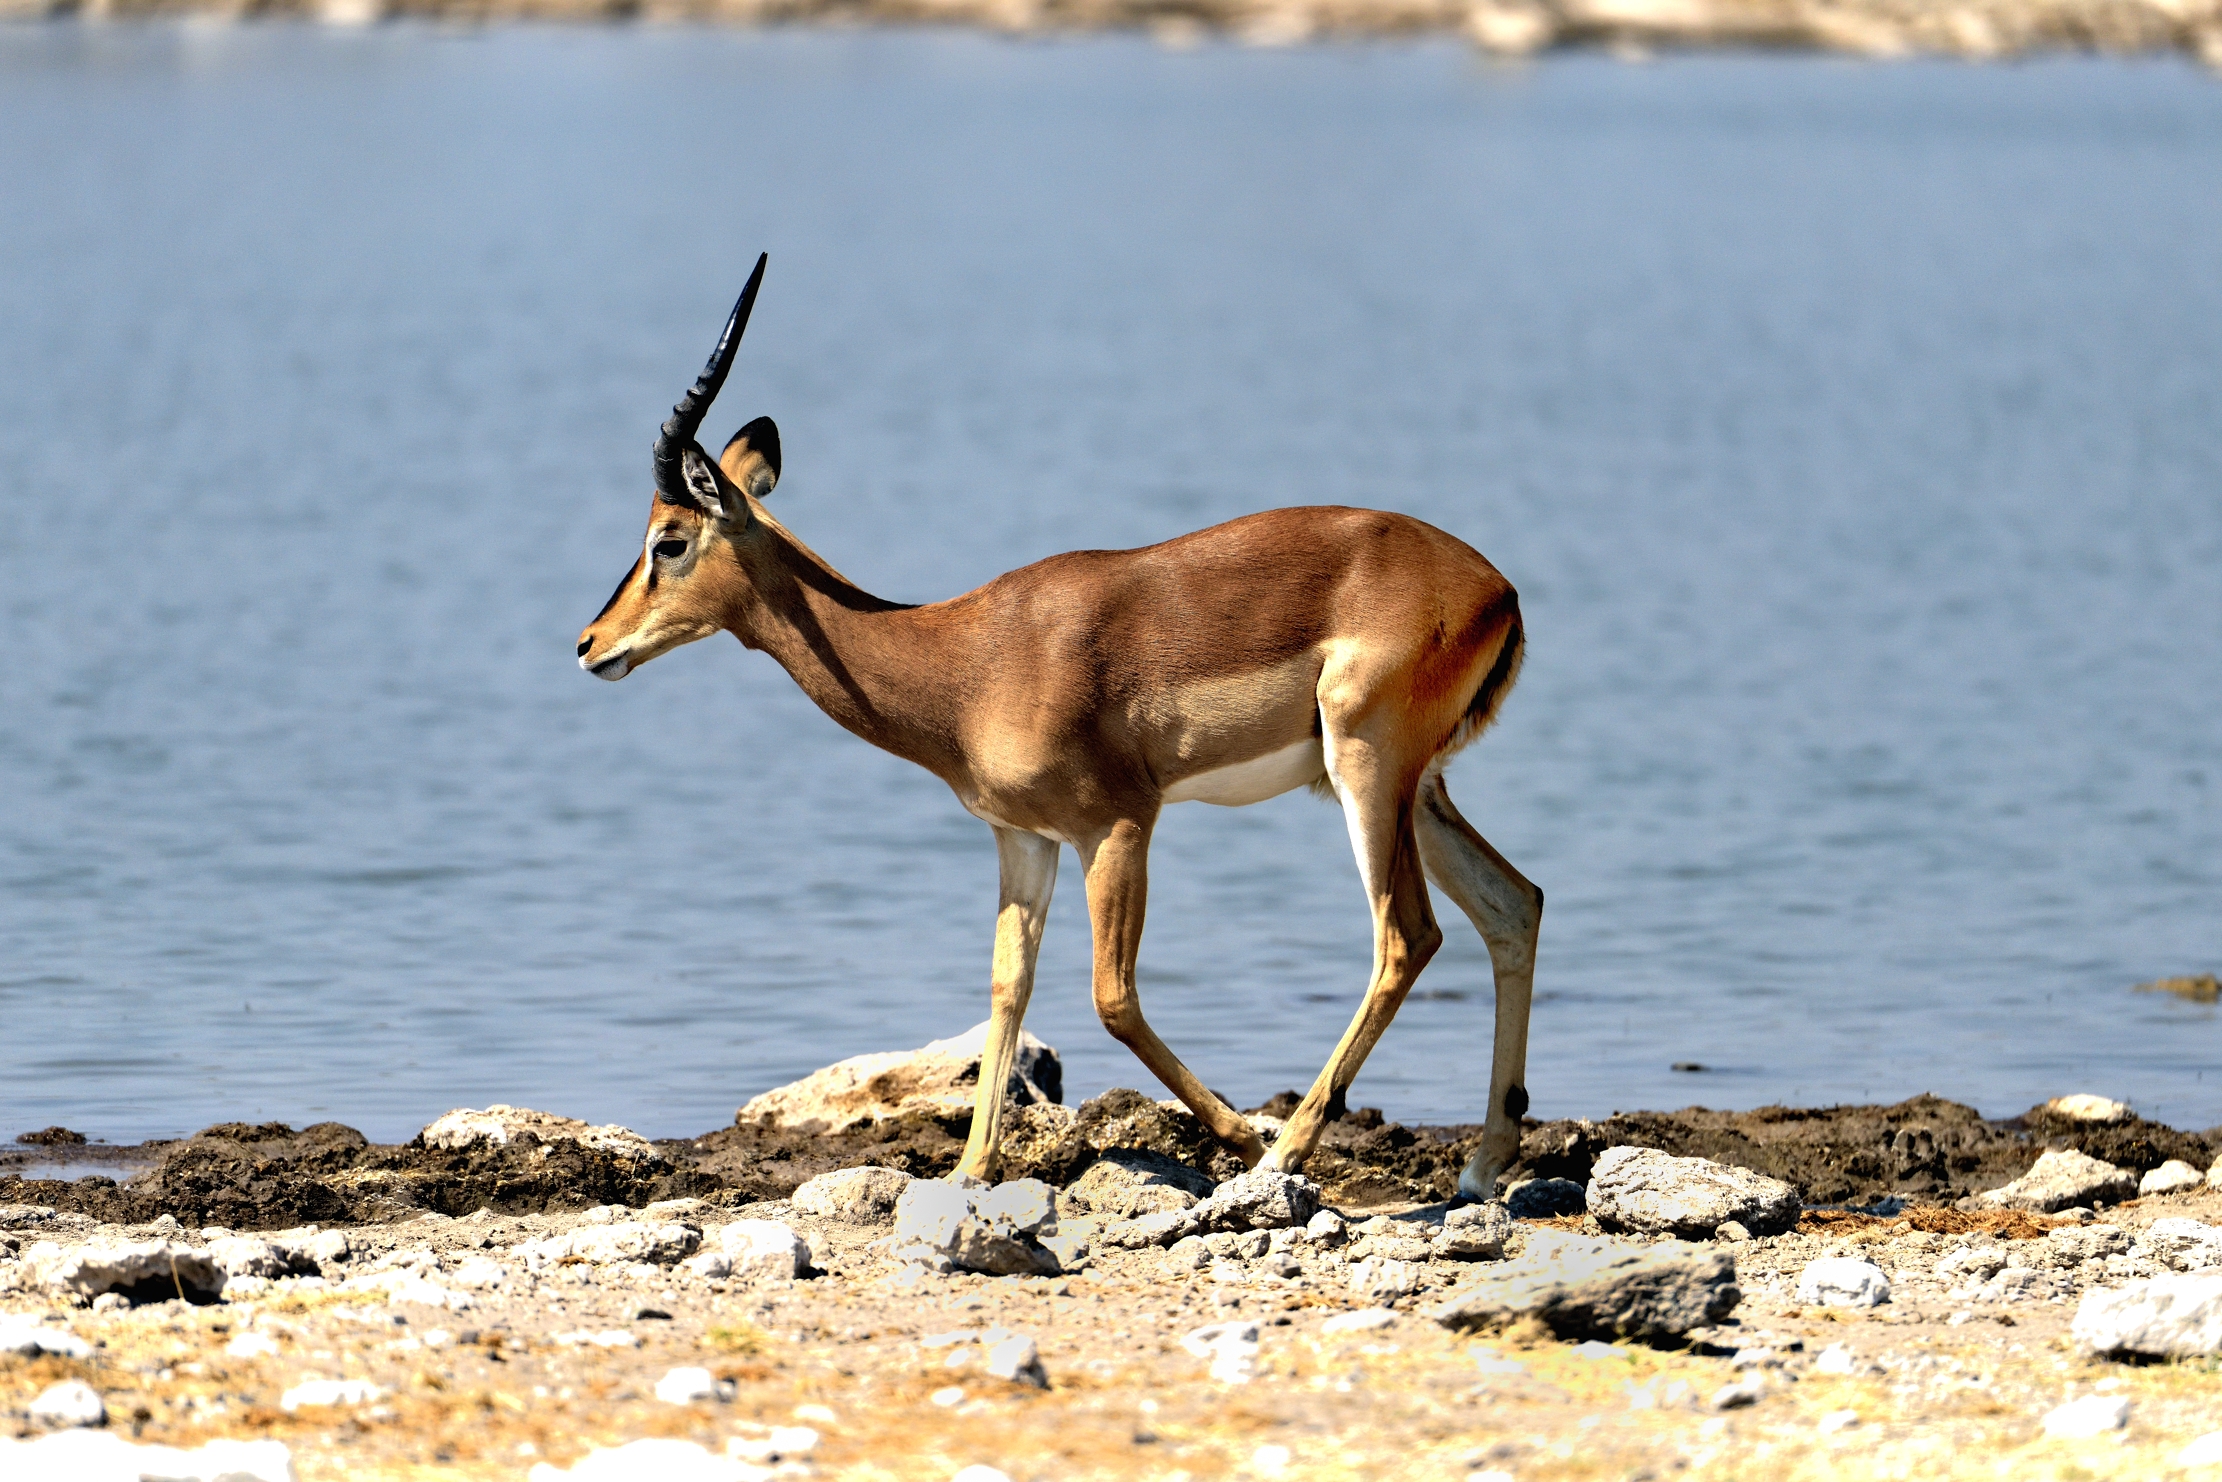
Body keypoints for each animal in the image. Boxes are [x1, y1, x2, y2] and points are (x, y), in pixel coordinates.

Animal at [577, 256, 1543, 1200]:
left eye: (669, 540)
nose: (590, 645)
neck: (966, 661)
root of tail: (1497, 588)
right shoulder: (1023, 839)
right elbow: (1008, 986)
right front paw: (970, 1170)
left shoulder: (1117, 824)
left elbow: (1111, 996)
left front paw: (1238, 1133)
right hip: (1417, 789)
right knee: (1514, 905)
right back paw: (1479, 1167)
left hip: (1366, 771)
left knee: (1406, 936)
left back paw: (1284, 1153)